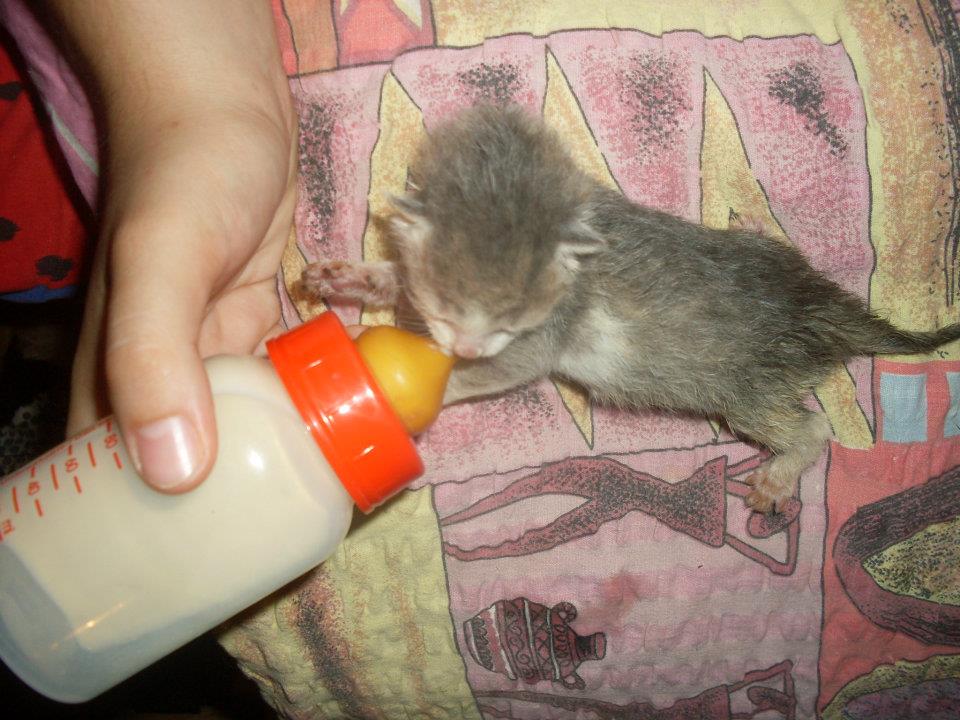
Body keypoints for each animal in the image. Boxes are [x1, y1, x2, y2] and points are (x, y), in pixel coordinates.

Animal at [300, 103, 960, 514]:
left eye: (511, 321)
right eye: (444, 304)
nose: (459, 346)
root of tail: (813, 302)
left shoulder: (545, 334)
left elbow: (505, 370)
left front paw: (423, 392)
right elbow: (400, 281)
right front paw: (350, 278)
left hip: (746, 388)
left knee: (812, 428)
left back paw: (777, 475)